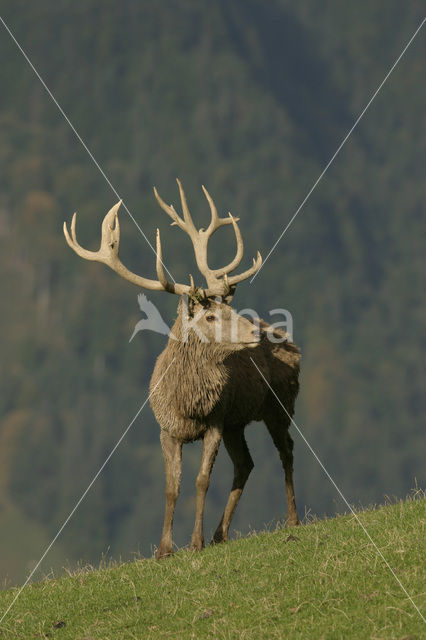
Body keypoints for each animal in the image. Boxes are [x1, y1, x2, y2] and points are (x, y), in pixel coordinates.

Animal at [65, 179, 302, 556]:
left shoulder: (215, 422)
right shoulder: (167, 429)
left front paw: (194, 542)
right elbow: (171, 487)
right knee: (245, 463)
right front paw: (164, 549)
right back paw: (221, 533)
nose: (255, 333)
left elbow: (201, 480)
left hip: (279, 405)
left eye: (226, 308)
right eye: (210, 316)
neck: (187, 404)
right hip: (238, 422)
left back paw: (291, 519)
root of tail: (290, 341)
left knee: (286, 450)